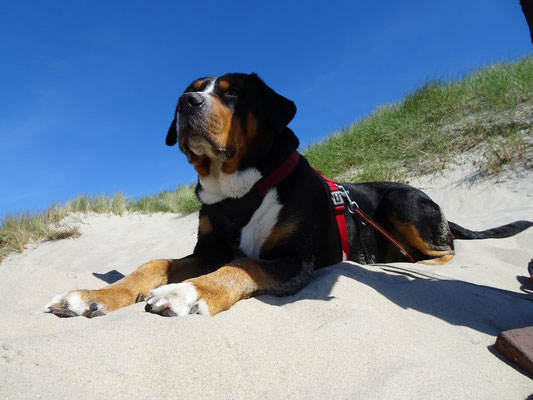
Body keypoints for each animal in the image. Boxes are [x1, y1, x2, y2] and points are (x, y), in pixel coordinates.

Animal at [45, 72, 532, 318]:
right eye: (190, 91)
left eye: (233, 94)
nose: (186, 103)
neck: (236, 189)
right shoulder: (207, 249)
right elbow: (152, 265)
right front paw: (95, 295)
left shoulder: (294, 259)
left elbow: (241, 266)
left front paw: (188, 292)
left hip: (403, 201)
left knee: (442, 251)